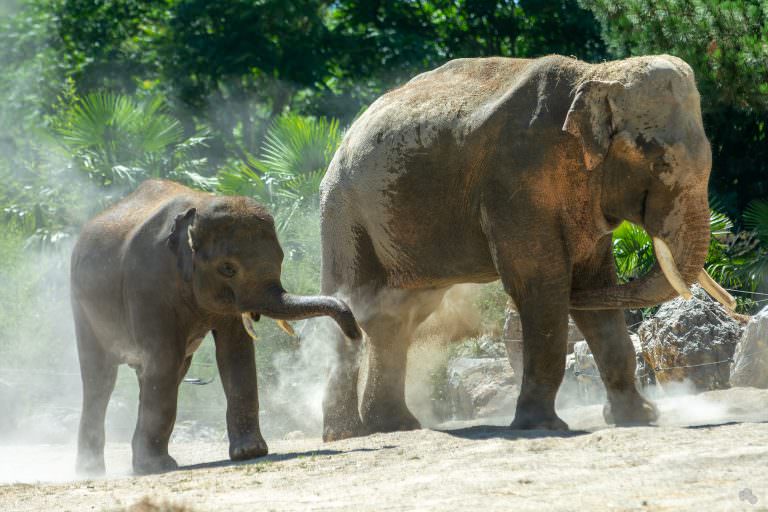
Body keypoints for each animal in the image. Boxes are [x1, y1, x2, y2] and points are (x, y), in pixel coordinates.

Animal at [72, 178, 360, 474]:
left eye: (281, 259)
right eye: (228, 269)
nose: (355, 334)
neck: (197, 211)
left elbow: (236, 353)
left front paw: (250, 452)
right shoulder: (147, 284)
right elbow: (164, 357)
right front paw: (156, 468)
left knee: (164, 371)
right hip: (81, 306)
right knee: (101, 379)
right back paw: (92, 470)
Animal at [320, 55, 736, 440]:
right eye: (660, 162)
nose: (733, 304)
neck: (595, 74)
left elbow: (595, 282)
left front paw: (640, 418)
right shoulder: (516, 178)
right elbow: (540, 285)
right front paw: (543, 426)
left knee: (396, 316)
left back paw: (394, 427)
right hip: (344, 211)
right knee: (351, 306)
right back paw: (348, 434)